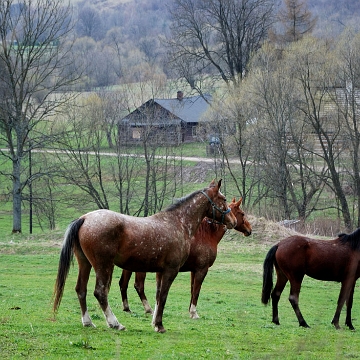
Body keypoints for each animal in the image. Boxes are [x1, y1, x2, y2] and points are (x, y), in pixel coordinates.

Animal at [52, 179, 236, 334]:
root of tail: (84, 218)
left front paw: (154, 322)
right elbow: (163, 296)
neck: (177, 223)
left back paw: (88, 322)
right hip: (104, 266)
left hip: (85, 263)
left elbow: (157, 296)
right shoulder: (170, 271)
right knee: (100, 292)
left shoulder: (160, 272)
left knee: (81, 290)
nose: (233, 221)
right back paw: (115, 323)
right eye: (223, 198)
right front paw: (160, 325)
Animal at [119, 197, 252, 318]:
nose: (249, 230)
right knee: (139, 286)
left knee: (123, 284)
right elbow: (196, 291)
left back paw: (127, 308)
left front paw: (190, 311)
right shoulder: (202, 270)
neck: (207, 235)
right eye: (242, 213)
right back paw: (148, 309)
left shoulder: (194, 270)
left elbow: (192, 290)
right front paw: (194, 312)